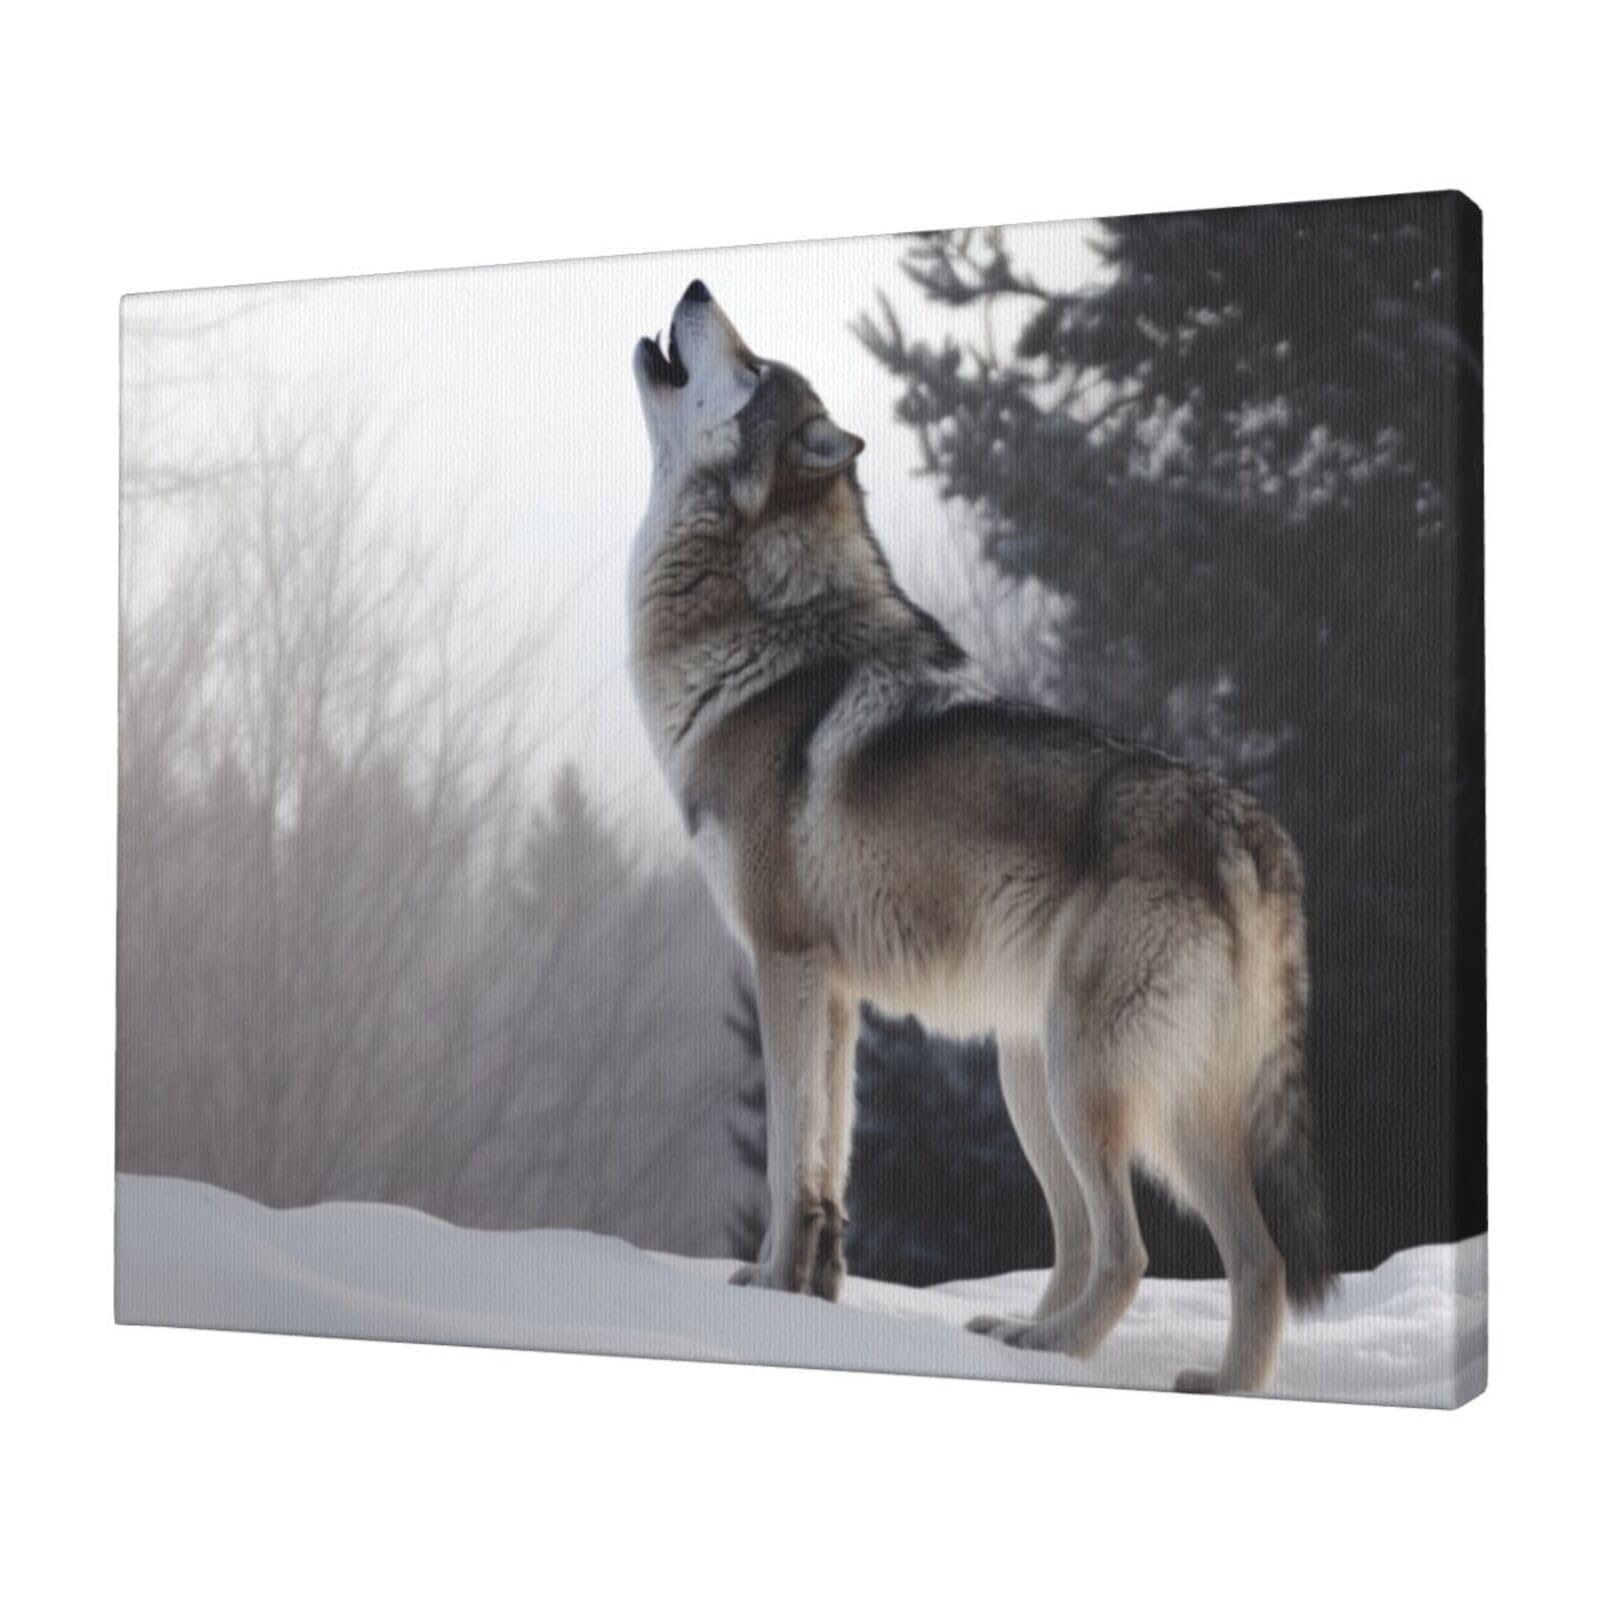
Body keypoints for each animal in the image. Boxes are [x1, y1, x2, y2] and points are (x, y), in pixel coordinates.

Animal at [627, 280, 1334, 1393]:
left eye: (749, 366)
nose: (697, 288)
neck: (758, 635)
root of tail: (1250, 827)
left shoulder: (784, 964)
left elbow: (787, 1159)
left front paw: (770, 1284)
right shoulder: (837, 993)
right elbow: (828, 1161)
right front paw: (811, 1293)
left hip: (1088, 1078)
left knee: (1130, 1250)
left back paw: (1054, 1352)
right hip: (1062, 1081)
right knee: (1218, 1253)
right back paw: (1159, 1370)